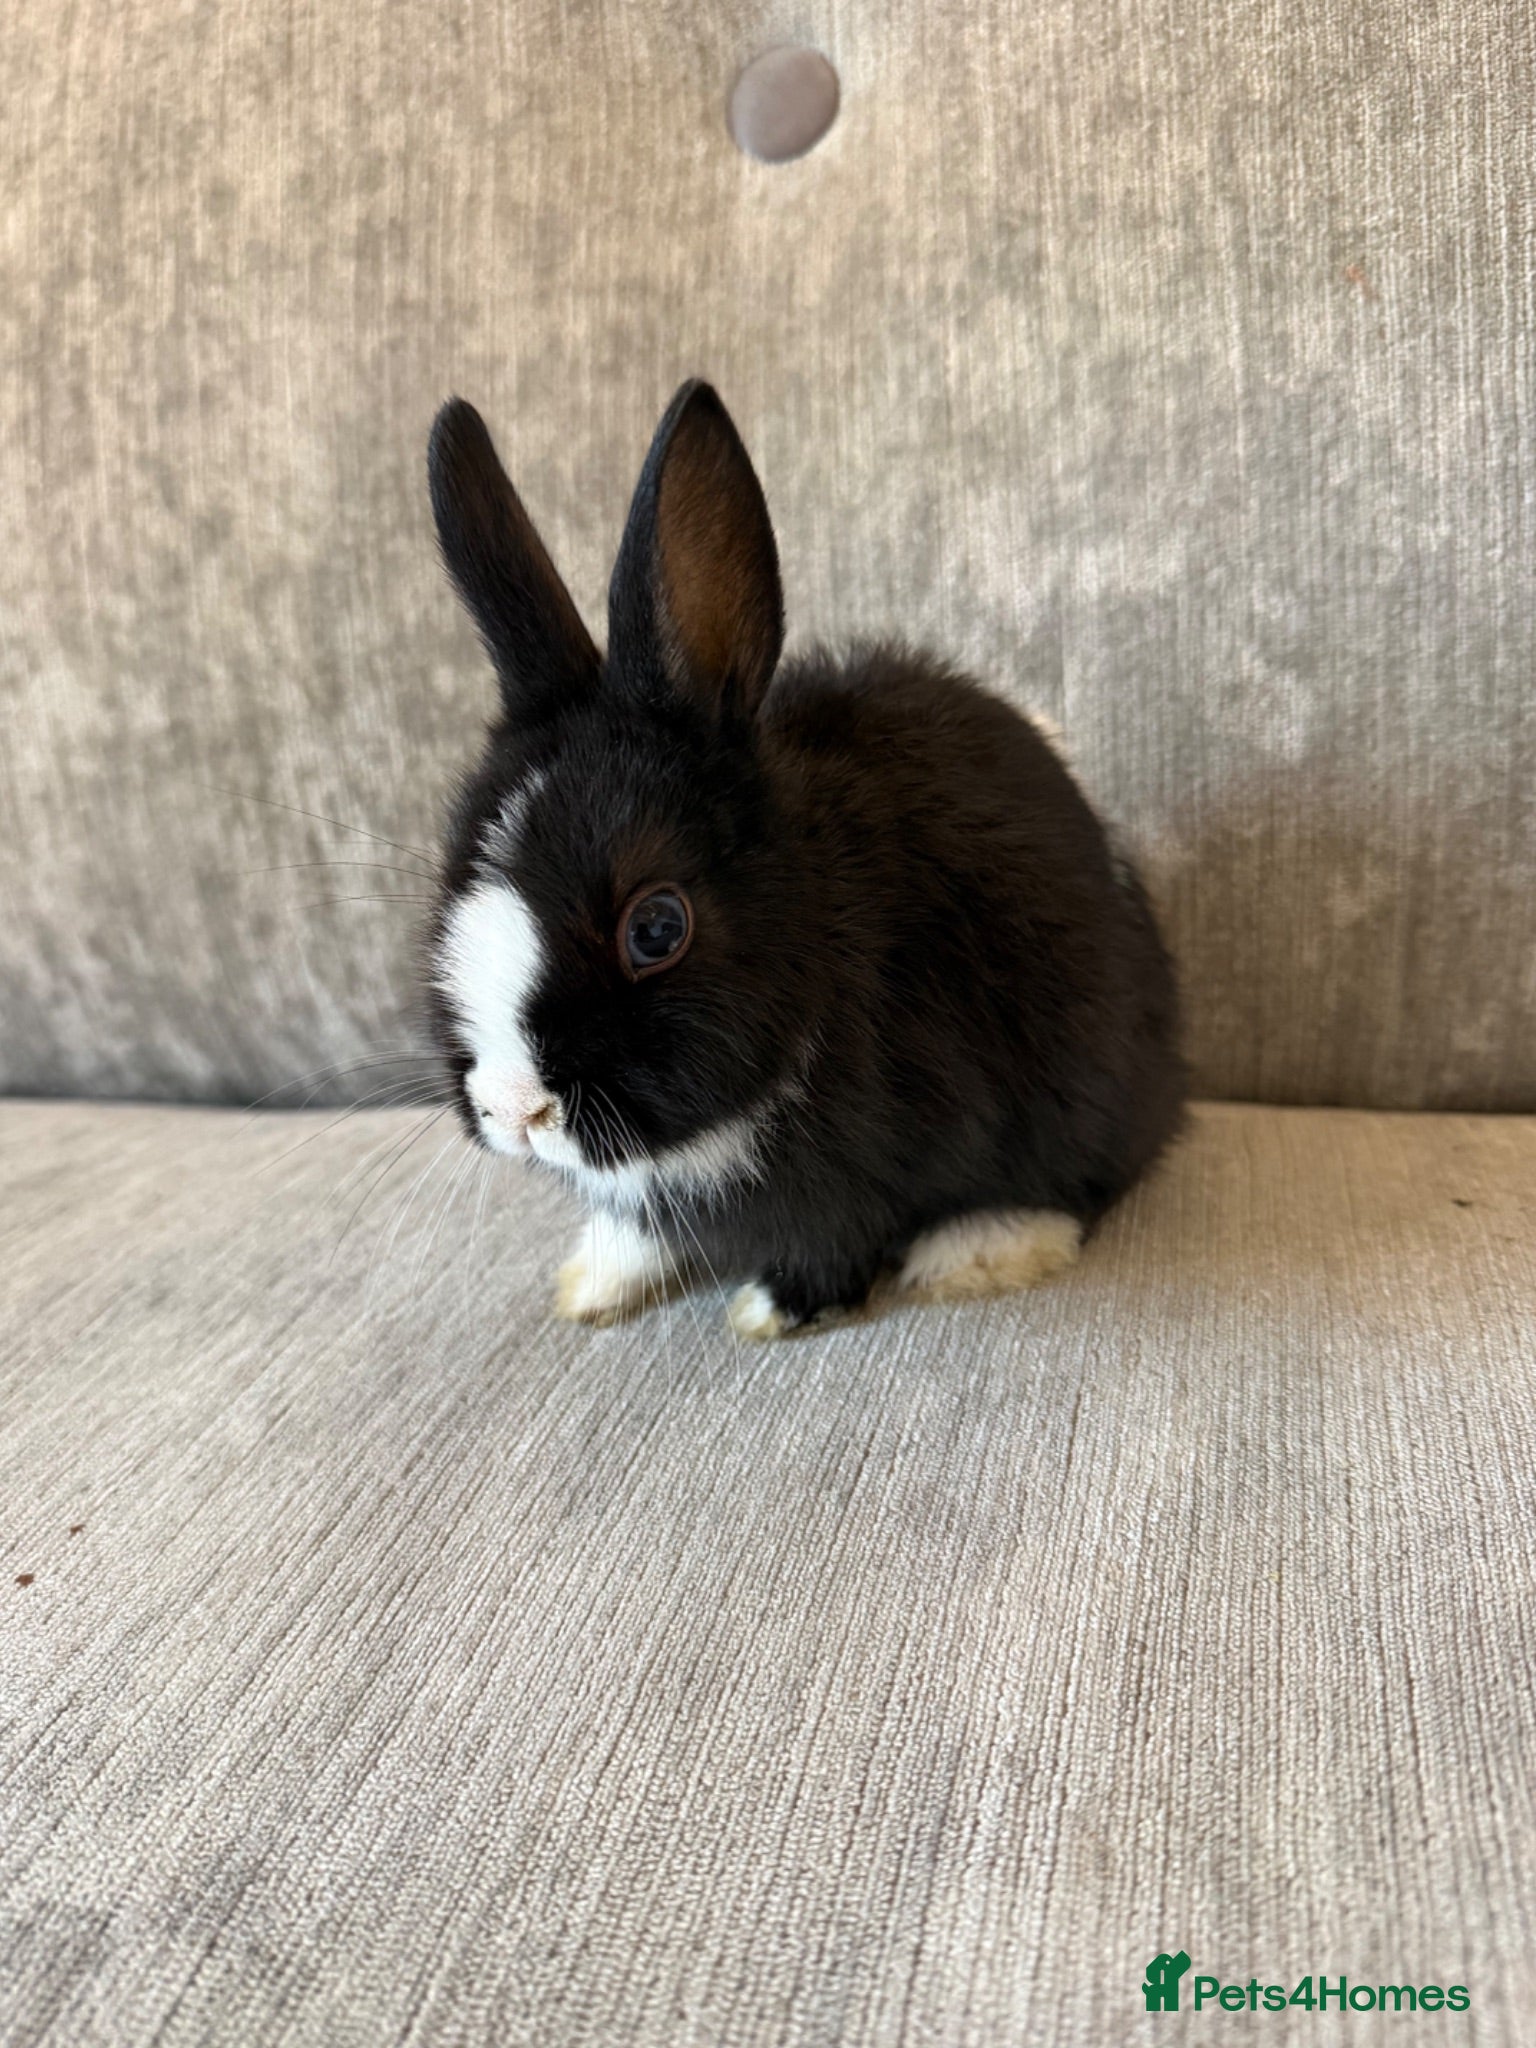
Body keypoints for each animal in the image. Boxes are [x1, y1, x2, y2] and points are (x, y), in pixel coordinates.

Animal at [424, 379, 1186, 1338]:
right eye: (446, 897)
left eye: (657, 928)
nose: (512, 1107)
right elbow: (636, 1232)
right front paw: (591, 1286)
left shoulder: (875, 1153)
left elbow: (834, 1236)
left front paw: (769, 1310)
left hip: (1086, 1070)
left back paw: (977, 1252)